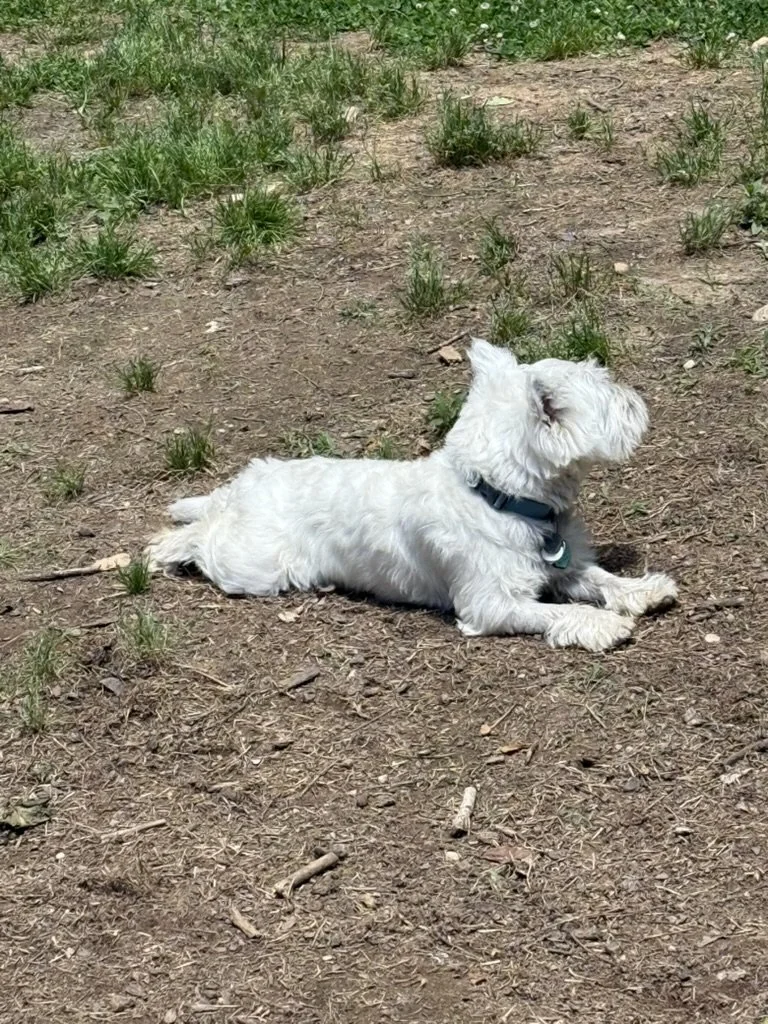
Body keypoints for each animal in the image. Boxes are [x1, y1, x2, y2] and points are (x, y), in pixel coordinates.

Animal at [146, 339, 677, 651]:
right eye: (607, 394)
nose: (637, 398)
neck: (498, 496)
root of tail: (245, 484)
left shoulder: (561, 566)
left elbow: (600, 578)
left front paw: (642, 589)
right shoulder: (491, 602)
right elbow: (557, 611)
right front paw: (600, 623)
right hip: (254, 564)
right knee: (200, 539)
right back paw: (161, 549)